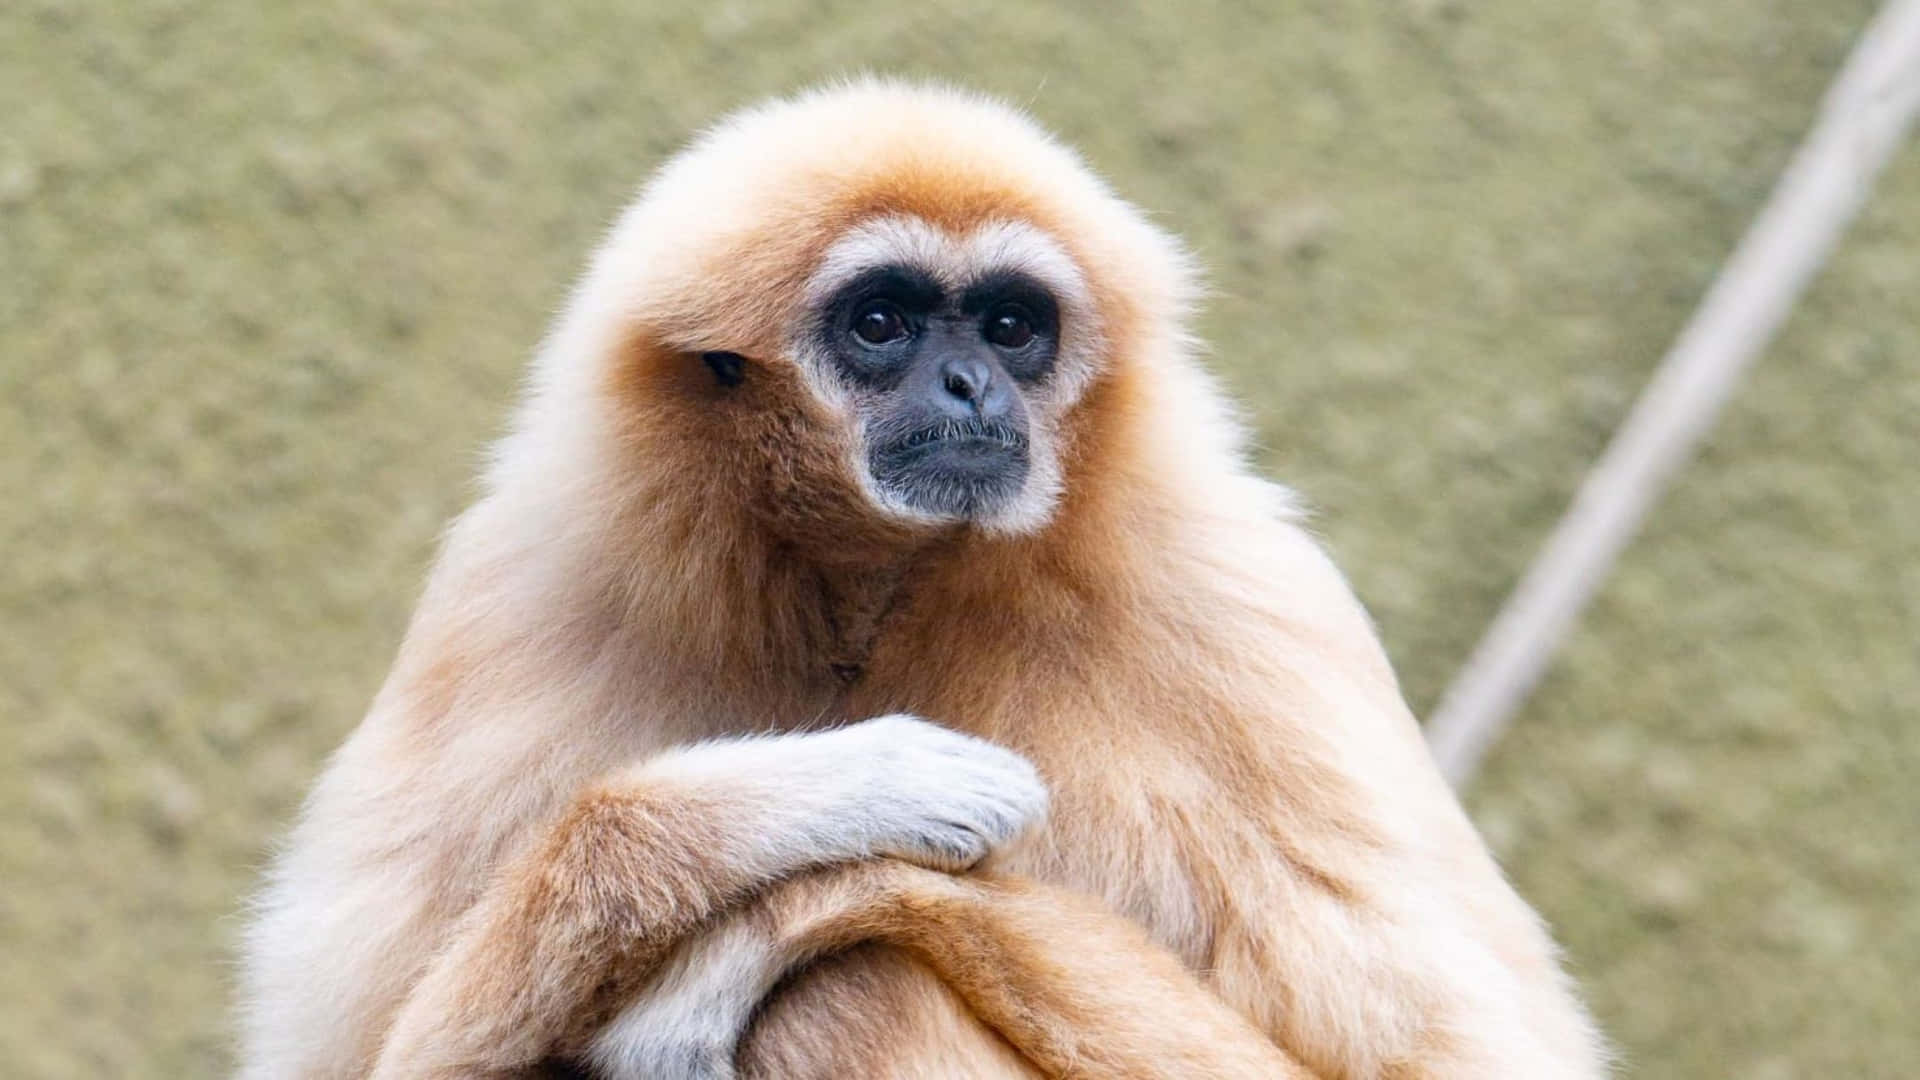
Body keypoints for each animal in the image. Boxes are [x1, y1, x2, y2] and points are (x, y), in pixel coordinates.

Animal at [238, 80, 1607, 1079]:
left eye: (1010, 326)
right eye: (883, 322)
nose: (968, 383)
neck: (873, 593)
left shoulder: (1243, 607)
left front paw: (770, 922)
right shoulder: (511, 596)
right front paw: (831, 787)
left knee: (853, 980)